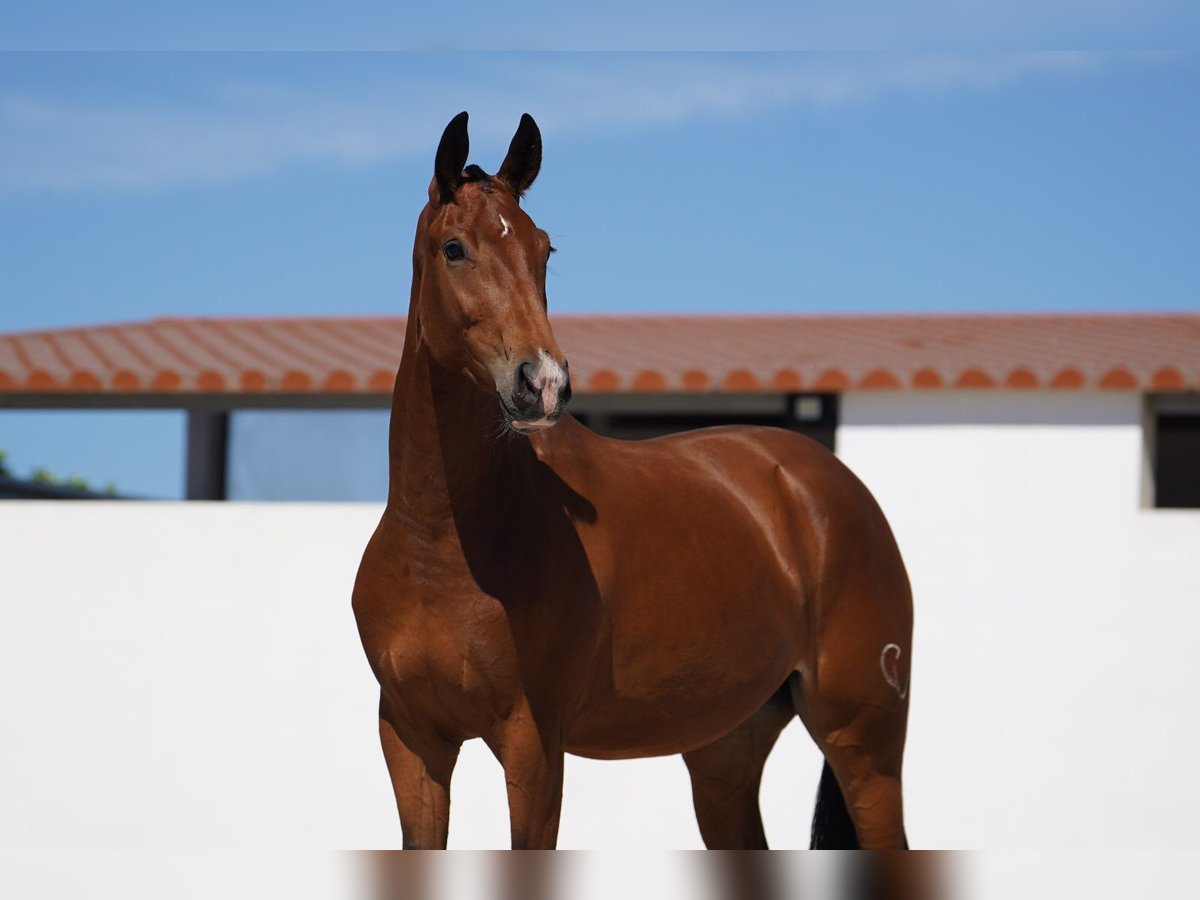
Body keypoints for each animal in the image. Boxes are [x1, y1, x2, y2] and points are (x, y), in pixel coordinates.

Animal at [350, 112, 912, 854]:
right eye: (454, 249)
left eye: (545, 250)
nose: (543, 383)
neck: (442, 544)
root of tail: (835, 490)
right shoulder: (412, 742)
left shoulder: (533, 747)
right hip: (725, 751)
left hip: (865, 748)